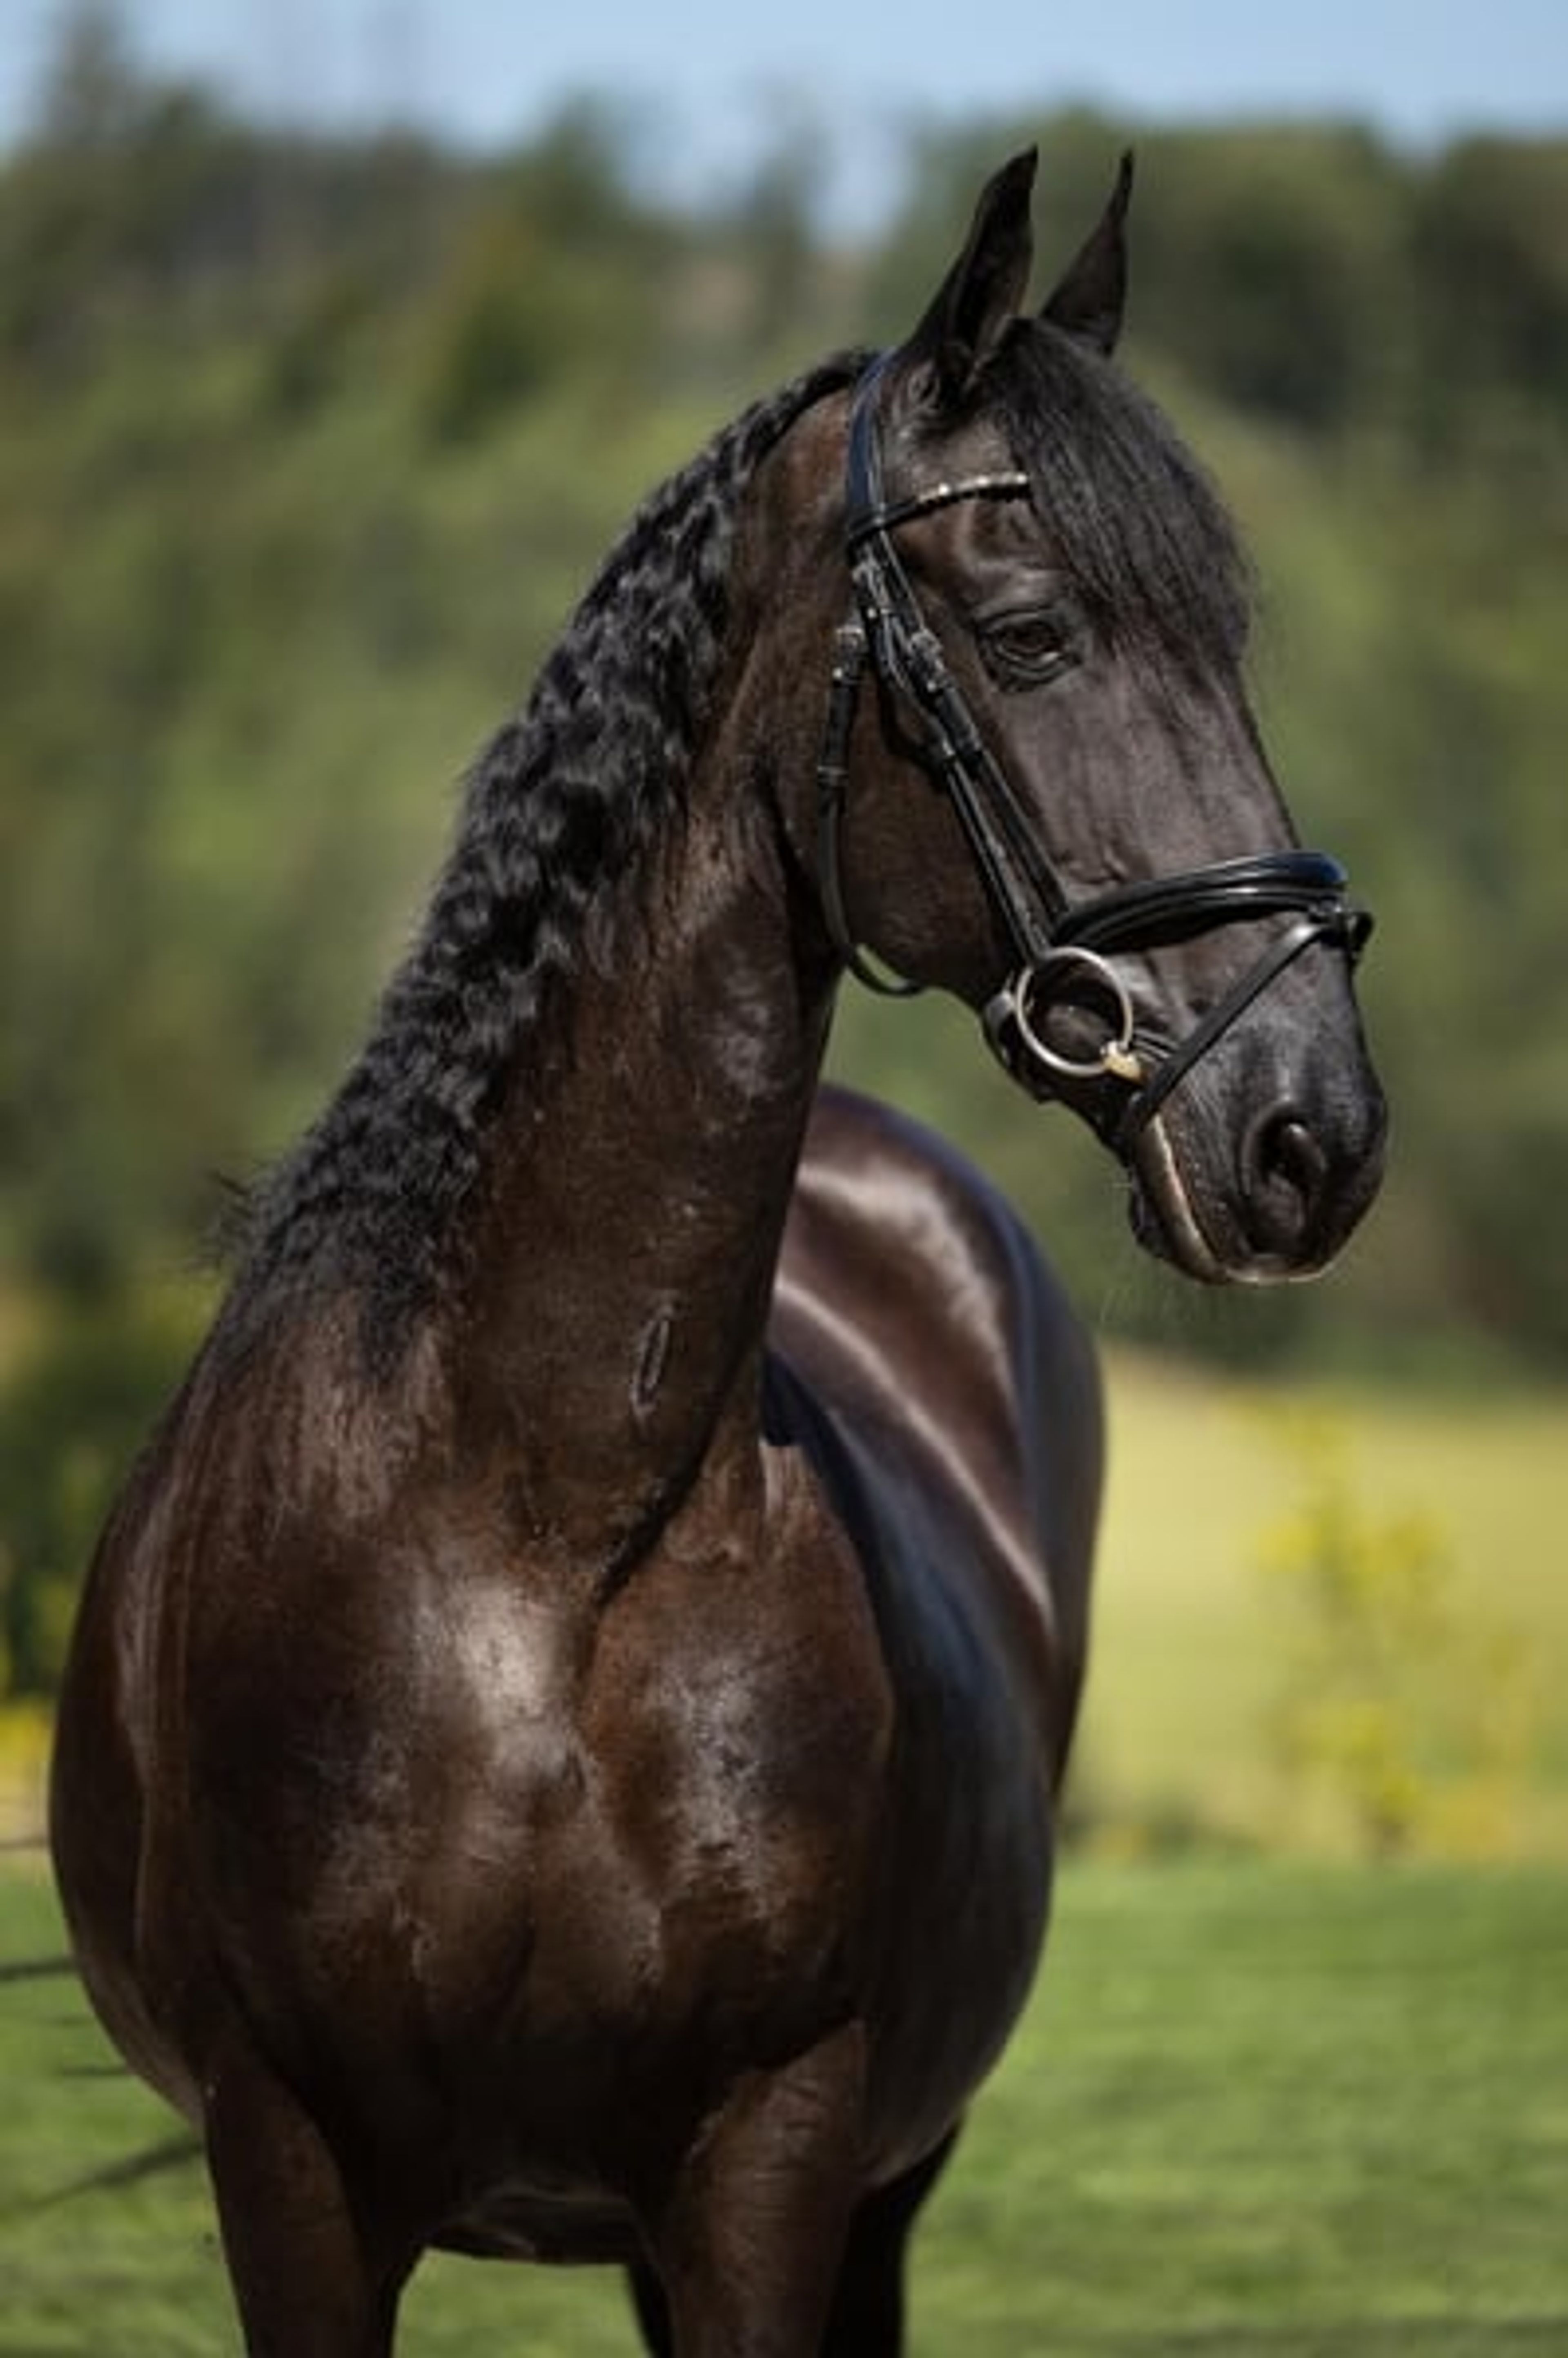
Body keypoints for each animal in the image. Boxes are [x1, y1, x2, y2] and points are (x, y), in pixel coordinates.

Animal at [50, 149, 1385, 2355]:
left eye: (1230, 643)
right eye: (1031, 634)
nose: (1311, 1133)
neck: (536, 1533)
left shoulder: (770, 2161)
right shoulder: (293, 2165)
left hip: (875, 2185)